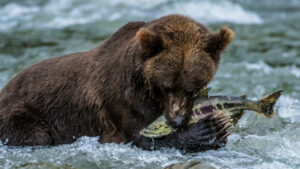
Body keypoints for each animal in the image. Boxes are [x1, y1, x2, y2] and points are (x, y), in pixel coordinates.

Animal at [0, 14, 234, 152]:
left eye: (193, 89)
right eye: (166, 86)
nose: (177, 121)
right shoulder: (122, 97)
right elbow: (139, 136)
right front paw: (209, 129)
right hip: (24, 115)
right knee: (36, 136)